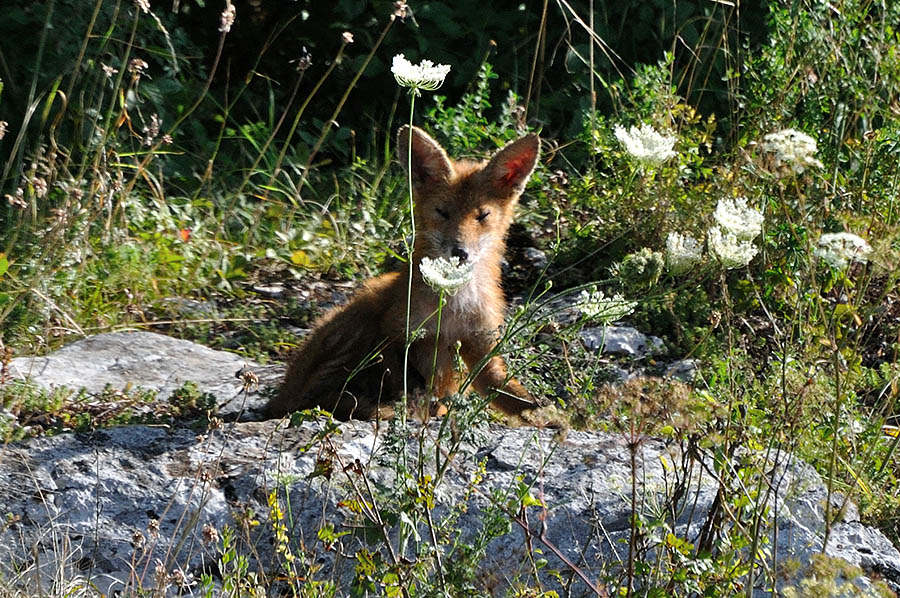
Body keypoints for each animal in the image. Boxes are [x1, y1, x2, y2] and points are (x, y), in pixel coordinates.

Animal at [266, 125, 536, 422]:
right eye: (442, 212)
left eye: (483, 215)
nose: (459, 252)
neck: (452, 309)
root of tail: (282, 395)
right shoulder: (394, 332)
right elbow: (408, 382)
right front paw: (416, 409)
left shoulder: (481, 347)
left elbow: (517, 397)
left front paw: (552, 417)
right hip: (362, 315)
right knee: (325, 398)